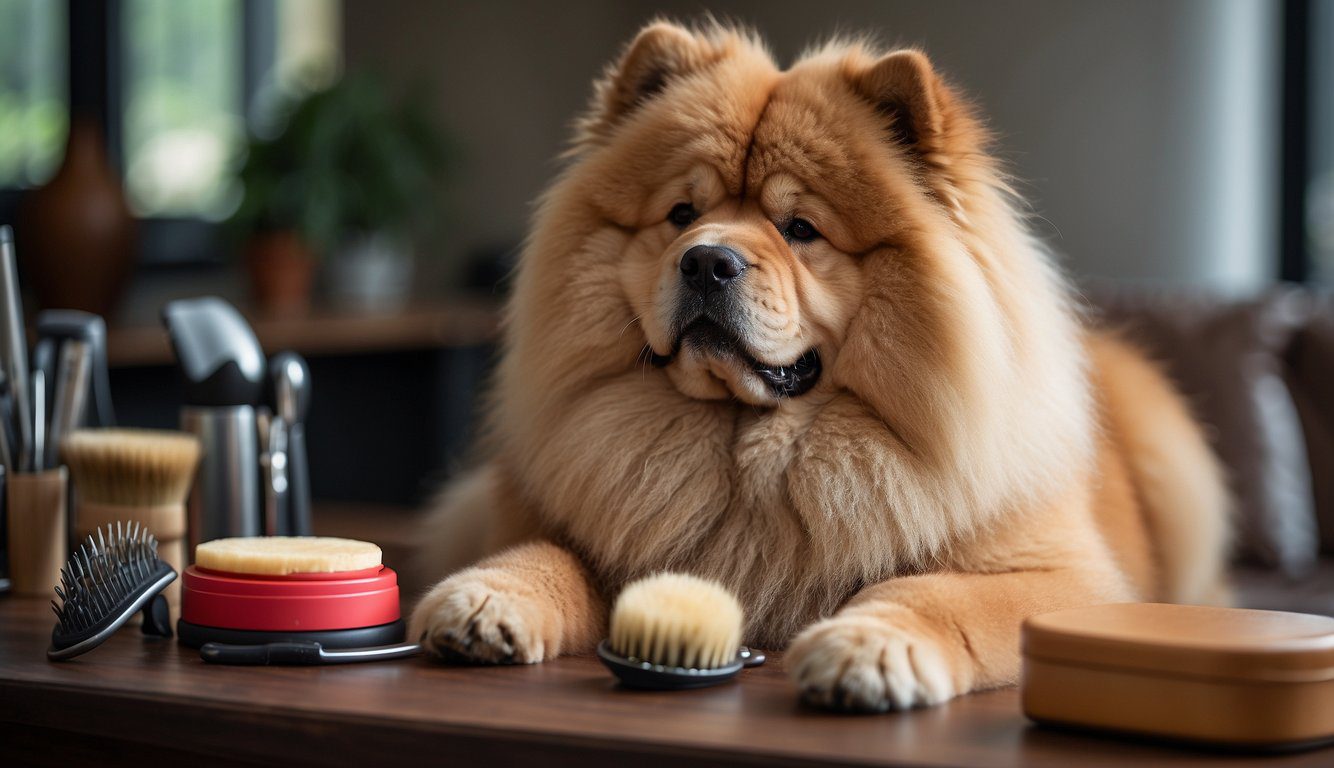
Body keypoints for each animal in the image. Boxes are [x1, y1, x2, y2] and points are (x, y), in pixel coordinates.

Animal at [408, 19, 1227, 714]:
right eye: (681, 215)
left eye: (801, 229)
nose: (706, 261)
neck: (749, 454)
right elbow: (545, 553)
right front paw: (484, 600)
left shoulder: (1062, 578)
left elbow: (940, 594)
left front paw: (868, 648)